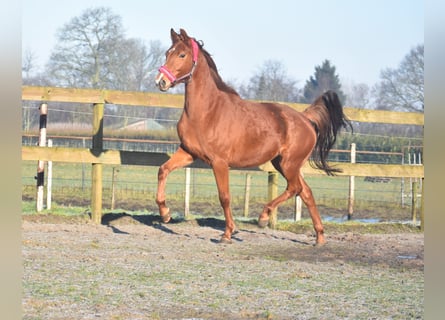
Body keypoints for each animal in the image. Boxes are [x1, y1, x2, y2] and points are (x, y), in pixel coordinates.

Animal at [155, 29, 350, 245]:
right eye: (167, 53)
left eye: (182, 55)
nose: (161, 81)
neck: (207, 111)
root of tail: (306, 119)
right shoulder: (189, 152)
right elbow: (163, 170)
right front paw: (165, 213)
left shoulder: (219, 162)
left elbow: (224, 196)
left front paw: (228, 233)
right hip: (282, 164)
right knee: (305, 192)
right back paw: (319, 237)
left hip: (289, 164)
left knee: (295, 188)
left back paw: (264, 217)